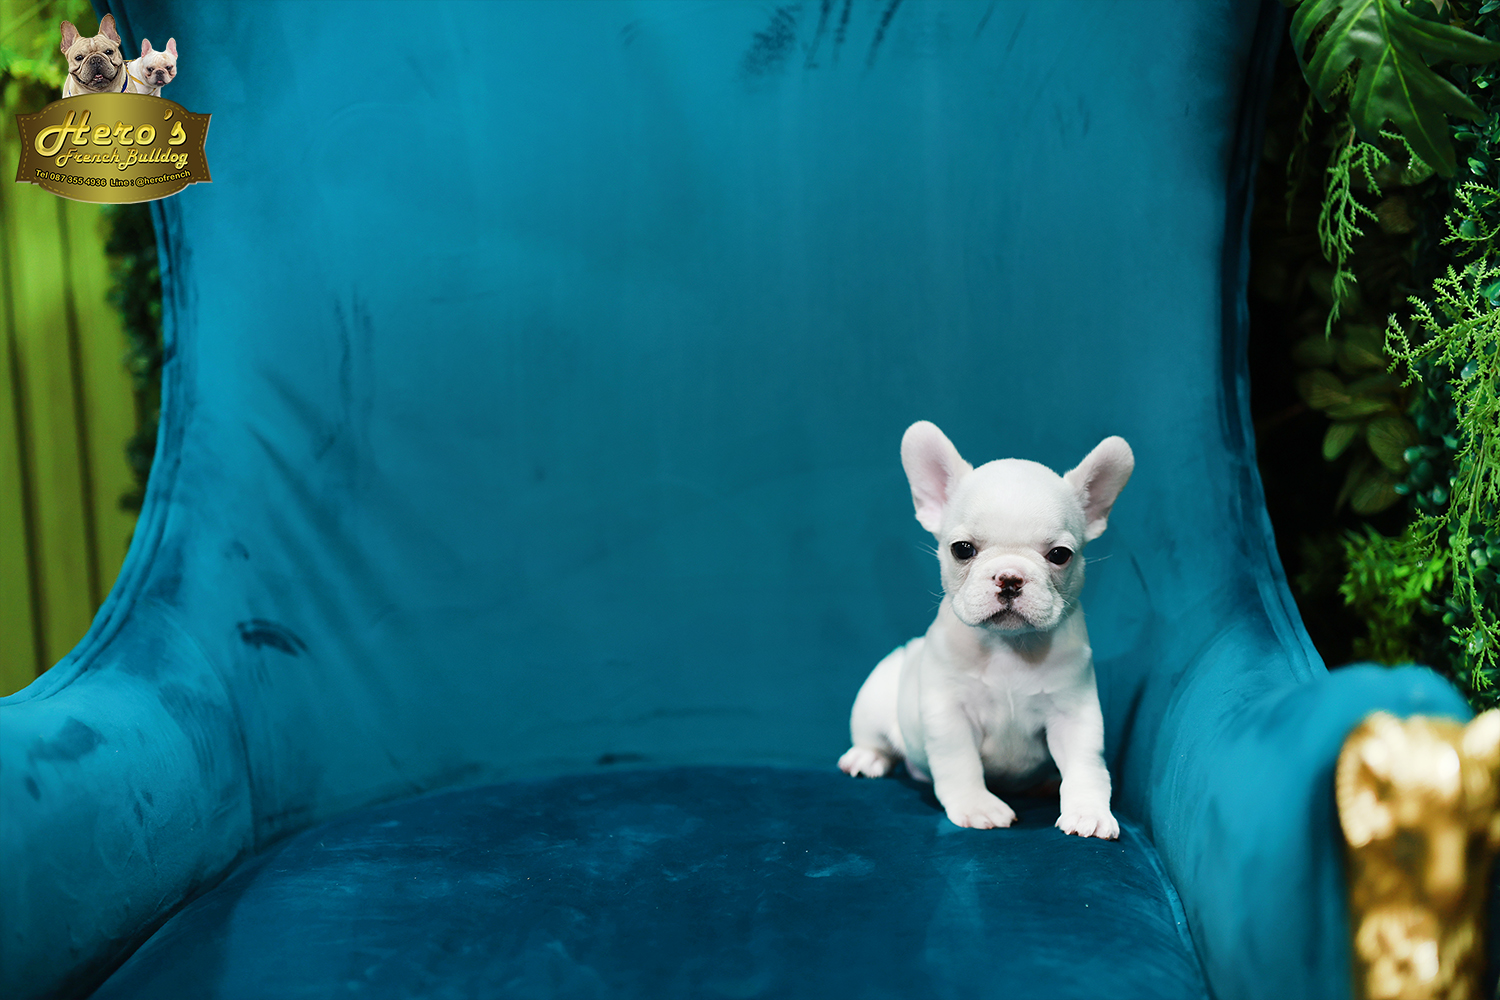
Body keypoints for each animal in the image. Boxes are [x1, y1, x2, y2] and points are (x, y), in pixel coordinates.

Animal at [839, 421, 1133, 839]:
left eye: (1060, 555)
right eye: (962, 549)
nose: (1010, 577)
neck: (1009, 648)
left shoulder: (1073, 712)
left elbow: (1086, 765)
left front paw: (1088, 810)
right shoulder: (949, 713)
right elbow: (959, 762)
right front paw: (977, 805)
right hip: (875, 697)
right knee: (873, 736)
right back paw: (867, 757)